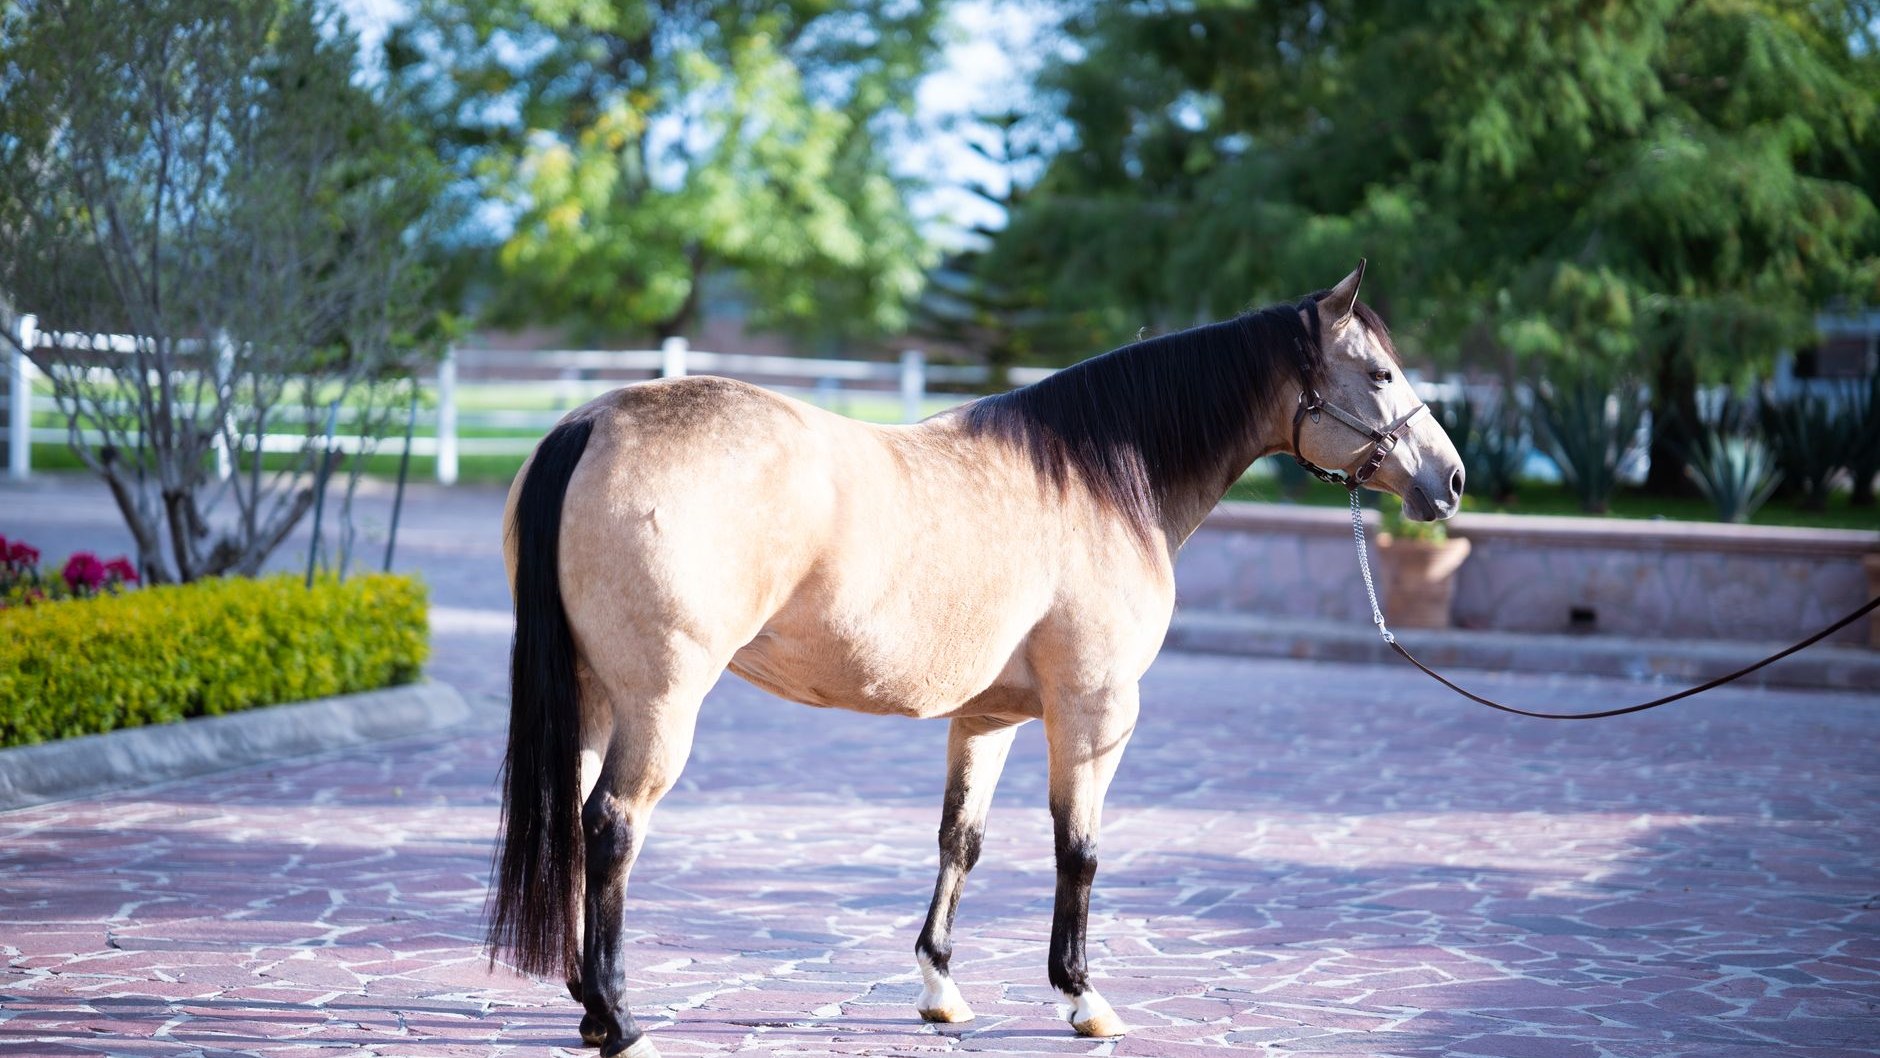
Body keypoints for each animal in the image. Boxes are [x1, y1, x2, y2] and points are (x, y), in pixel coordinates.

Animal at [489, 262, 1465, 1057]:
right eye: (1379, 374)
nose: (1449, 480)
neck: (1100, 478)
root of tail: (592, 423)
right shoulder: (1094, 712)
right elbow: (1080, 849)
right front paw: (1082, 998)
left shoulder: (989, 716)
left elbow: (961, 840)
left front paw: (940, 986)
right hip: (660, 701)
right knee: (613, 825)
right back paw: (621, 1021)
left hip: (594, 695)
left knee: (574, 817)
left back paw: (588, 1006)